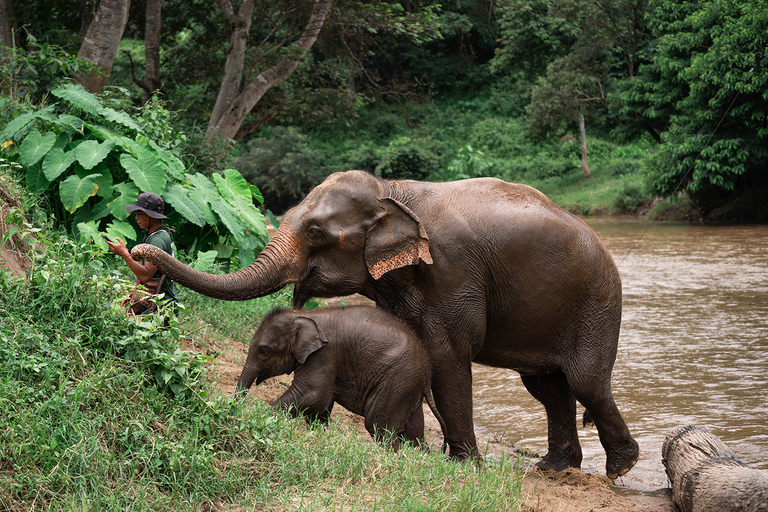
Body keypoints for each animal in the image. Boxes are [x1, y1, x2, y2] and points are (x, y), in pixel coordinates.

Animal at [237, 306, 448, 450]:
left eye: (264, 351)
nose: (238, 407)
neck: (305, 314)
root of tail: (426, 366)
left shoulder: (323, 355)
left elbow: (313, 394)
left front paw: (261, 415)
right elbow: (321, 406)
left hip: (397, 380)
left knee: (379, 425)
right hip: (408, 387)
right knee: (413, 434)